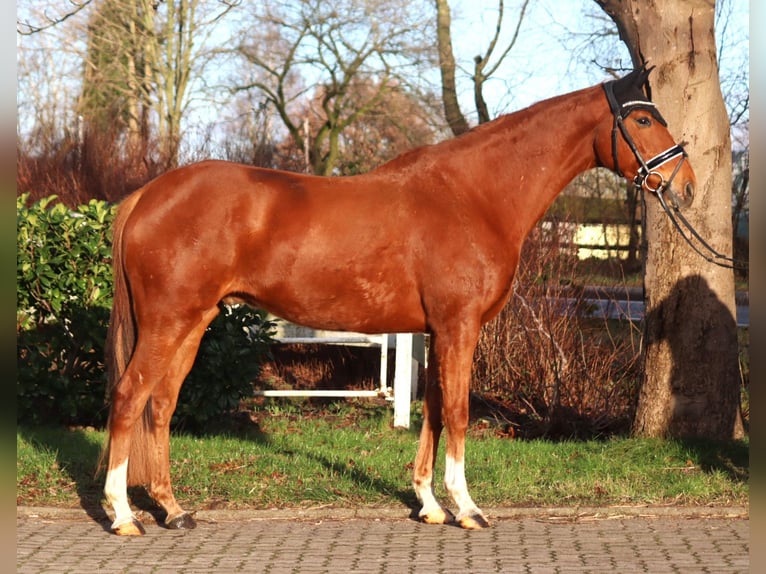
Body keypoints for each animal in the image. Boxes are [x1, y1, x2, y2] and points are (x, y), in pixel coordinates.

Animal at [100, 66, 696, 536]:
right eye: (644, 120)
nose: (685, 184)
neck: (473, 196)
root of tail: (147, 195)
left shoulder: (437, 330)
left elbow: (432, 409)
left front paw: (430, 504)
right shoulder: (460, 326)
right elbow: (457, 412)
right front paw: (468, 508)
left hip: (192, 321)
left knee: (161, 405)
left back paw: (173, 510)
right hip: (168, 321)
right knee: (130, 396)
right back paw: (123, 515)